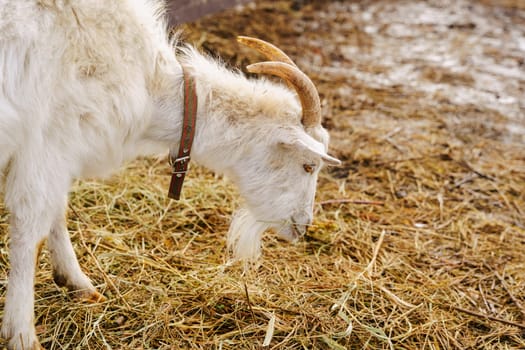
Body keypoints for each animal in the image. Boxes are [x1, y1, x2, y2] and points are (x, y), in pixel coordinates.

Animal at [0, 0, 340, 348]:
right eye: (309, 165)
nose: (303, 226)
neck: (149, 85)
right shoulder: (49, 139)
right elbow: (31, 226)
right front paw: (22, 333)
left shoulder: (57, 149)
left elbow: (56, 211)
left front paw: (76, 282)